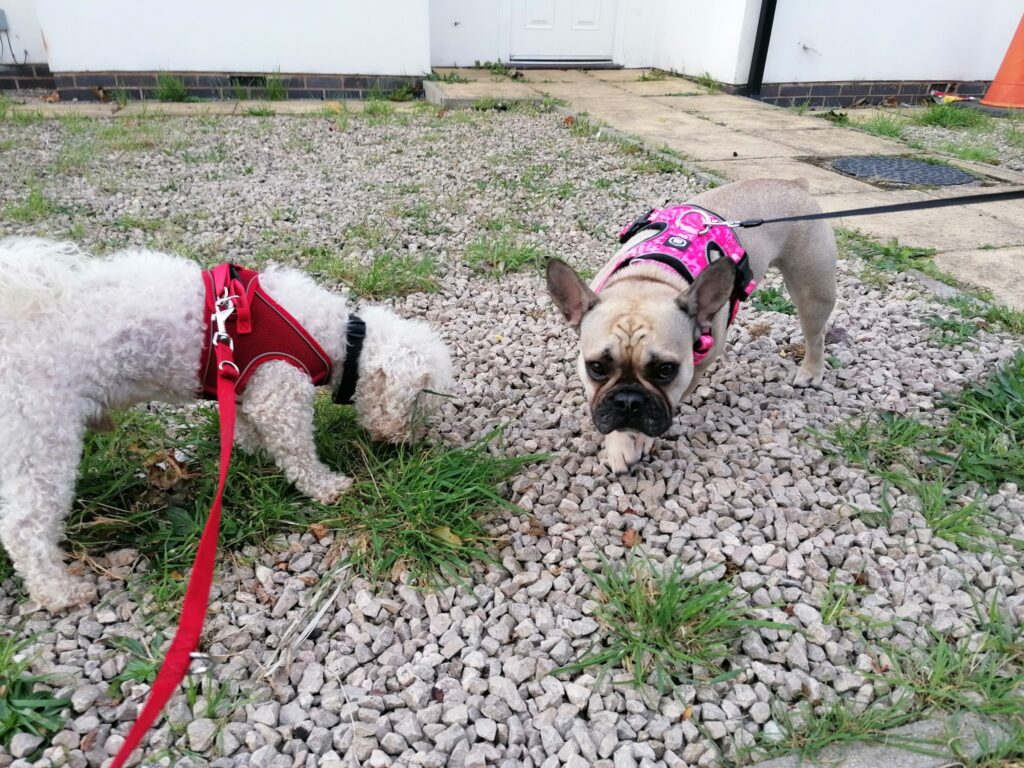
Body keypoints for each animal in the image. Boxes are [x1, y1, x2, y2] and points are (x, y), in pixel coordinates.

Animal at [0, 238, 453, 611]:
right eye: (421, 409)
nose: (408, 443)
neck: (341, 337)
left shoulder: (240, 382)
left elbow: (249, 426)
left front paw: (252, 448)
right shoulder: (279, 391)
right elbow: (298, 452)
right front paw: (326, 486)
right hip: (43, 431)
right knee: (24, 527)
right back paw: (59, 591)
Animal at [547, 178, 836, 473]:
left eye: (665, 370)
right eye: (596, 367)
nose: (628, 402)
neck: (649, 279)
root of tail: (795, 183)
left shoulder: (692, 372)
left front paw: (637, 440)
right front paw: (620, 444)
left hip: (812, 292)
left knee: (816, 334)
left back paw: (811, 372)